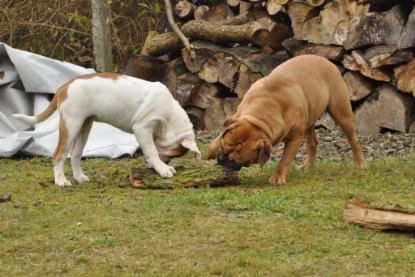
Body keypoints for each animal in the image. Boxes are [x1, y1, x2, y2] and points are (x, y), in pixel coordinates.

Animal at [13, 73, 202, 185]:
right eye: (173, 154)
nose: (167, 162)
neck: (169, 114)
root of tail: (64, 86)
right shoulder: (142, 128)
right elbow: (152, 151)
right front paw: (162, 168)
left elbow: (151, 150)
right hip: (71, 124)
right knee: (58, 154)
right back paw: (61, 181)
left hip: (84, 126)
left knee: (75, 154)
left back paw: (79, 177)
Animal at [208, 53, 368, 183]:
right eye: (223, 147)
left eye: (237, 160)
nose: (221, 159)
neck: (262, 114)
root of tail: (326, 60)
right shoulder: (237, 116)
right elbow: (216, 139)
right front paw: (210, 151)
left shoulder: (294, 139)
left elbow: (284, 160)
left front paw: (277, 177)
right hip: (310, 118)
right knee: (312, 142)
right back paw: (307, 166)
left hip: (340, 111)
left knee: (353, 138)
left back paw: (360, 163)